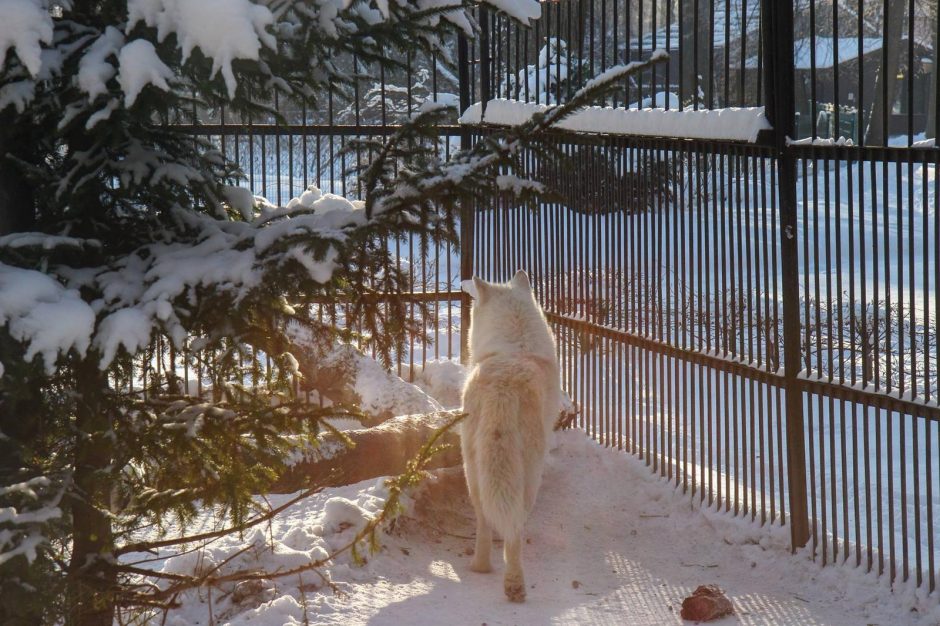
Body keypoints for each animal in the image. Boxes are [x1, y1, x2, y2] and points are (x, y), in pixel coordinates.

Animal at [460, 268, 560, 600]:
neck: (515, 346)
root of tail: (502, 390)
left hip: (472, 469)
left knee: (483, 517)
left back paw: (480, 567)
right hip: (529, 474)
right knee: (515, 524)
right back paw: (515, 585)